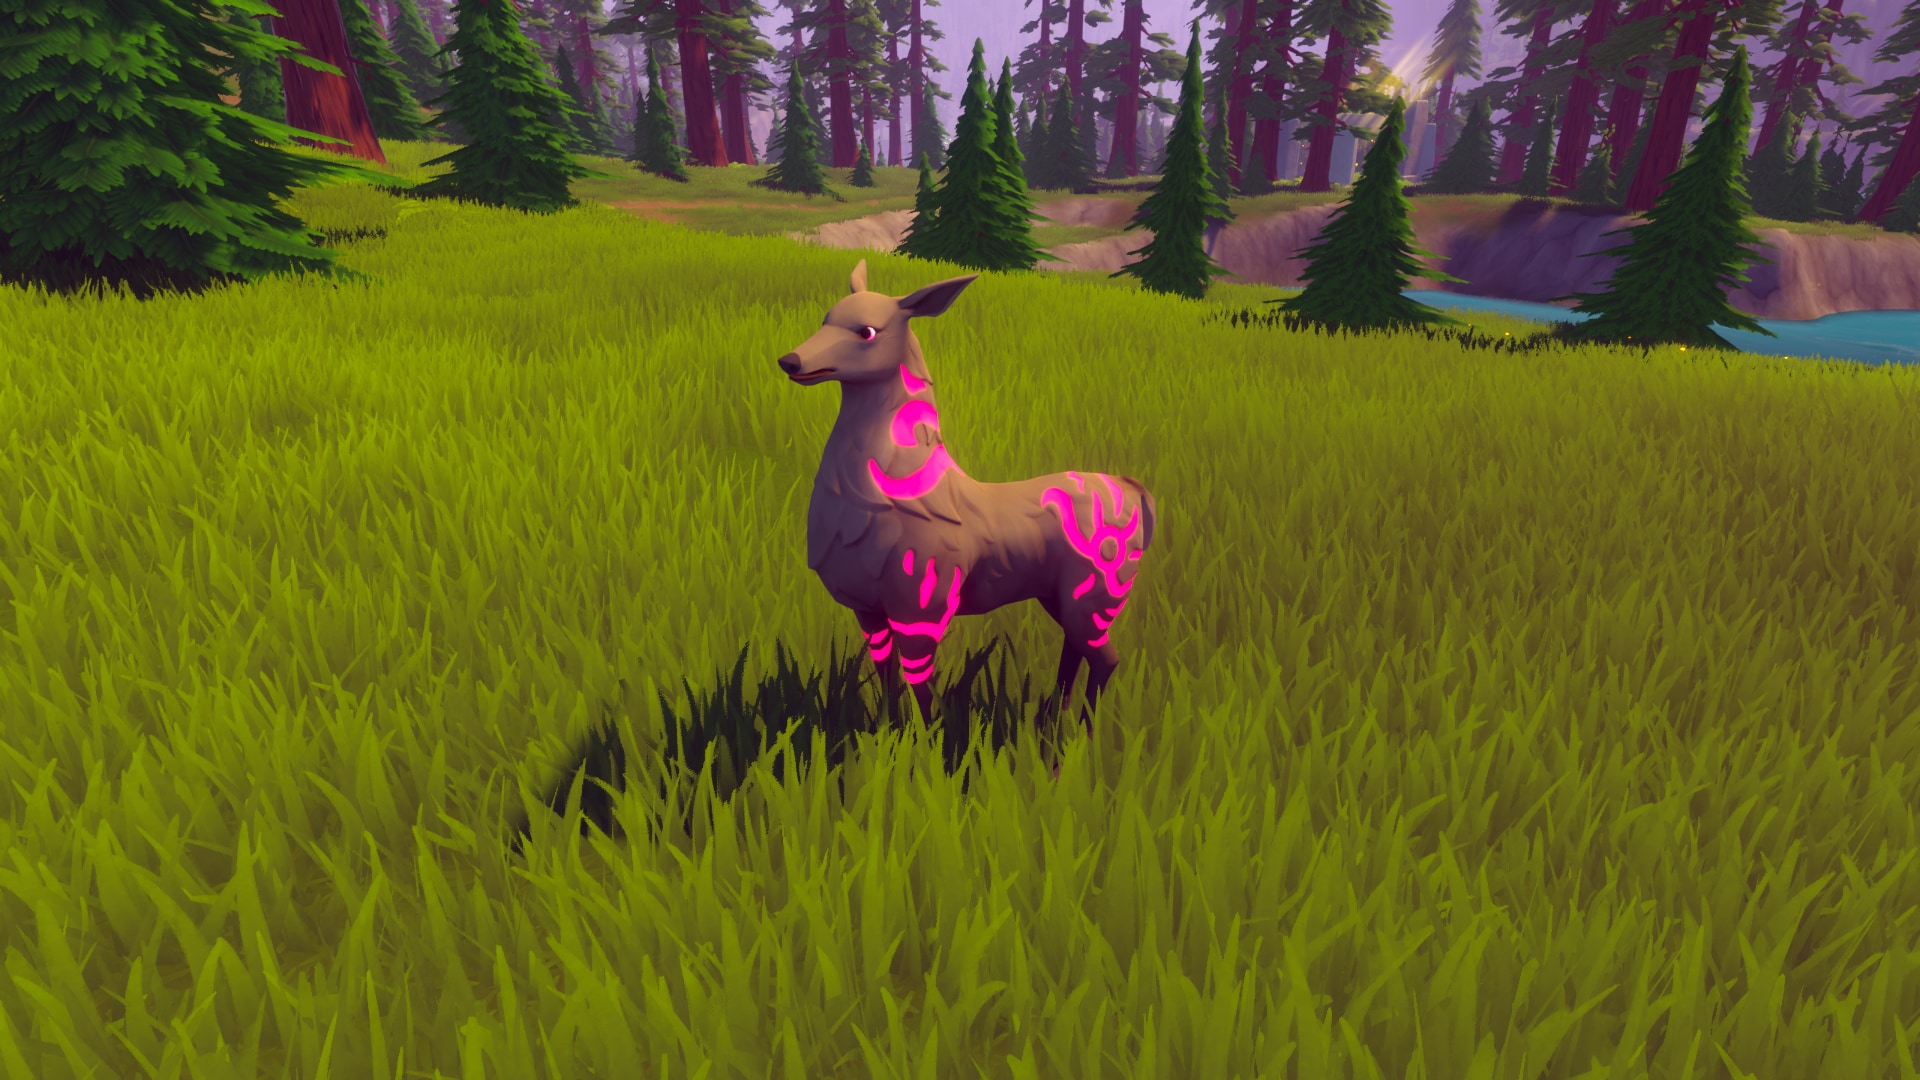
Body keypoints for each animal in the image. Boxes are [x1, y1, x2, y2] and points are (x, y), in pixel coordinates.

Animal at [776, 258, 1157, 760]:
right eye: (826, 318)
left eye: (867, 331)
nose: (790, 361)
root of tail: (1136, 493)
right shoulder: (868, 607)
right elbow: (887, 677)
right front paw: (886, 737)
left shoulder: (924, 604)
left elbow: (922, 689)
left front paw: (929, 752)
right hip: (1060, 595)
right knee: (1077, 651)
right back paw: (1050, 724)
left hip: (1100, 591)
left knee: (1107, 658)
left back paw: (1080, 745)